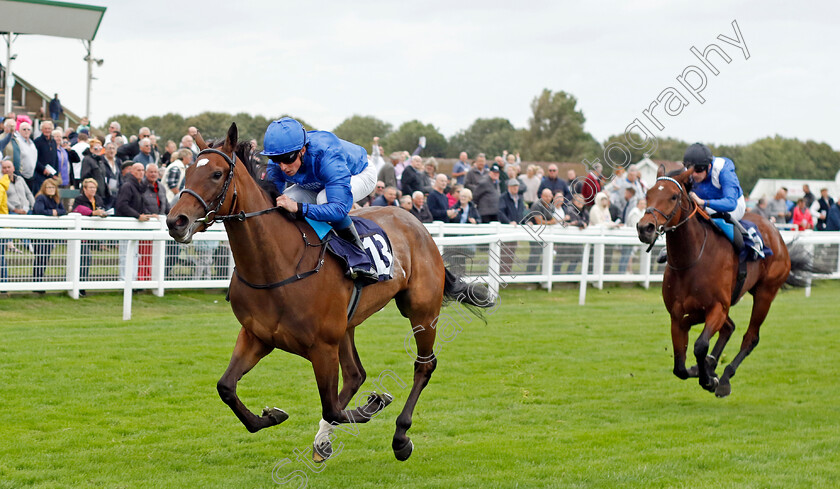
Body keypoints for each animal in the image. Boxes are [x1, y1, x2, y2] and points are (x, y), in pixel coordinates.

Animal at [164, 124, 492, 460]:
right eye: (186, 171)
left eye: (217, 174)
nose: (176, 220)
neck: (278, 265)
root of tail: (417, 222)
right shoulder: (257, 336)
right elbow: (226, 387)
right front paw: (272, 416)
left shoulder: (322, 347)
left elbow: (332, 407)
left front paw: (375, 404)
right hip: (346, 325)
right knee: (356, 374)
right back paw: (324, 440)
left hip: (421, 310)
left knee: (423, 366)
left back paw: (400, 437)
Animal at [640, 168, 812, 396]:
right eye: (648, 194)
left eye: (673, 196)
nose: (645, 228)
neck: (691, 259)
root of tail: (776, 233)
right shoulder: (677, 314)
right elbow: (680, 367)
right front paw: (702, 369)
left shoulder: (717, 307)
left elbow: (700, 345)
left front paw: (709, 379)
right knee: (729, 327)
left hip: (765, 294)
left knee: (750, 337)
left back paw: (724, 379)